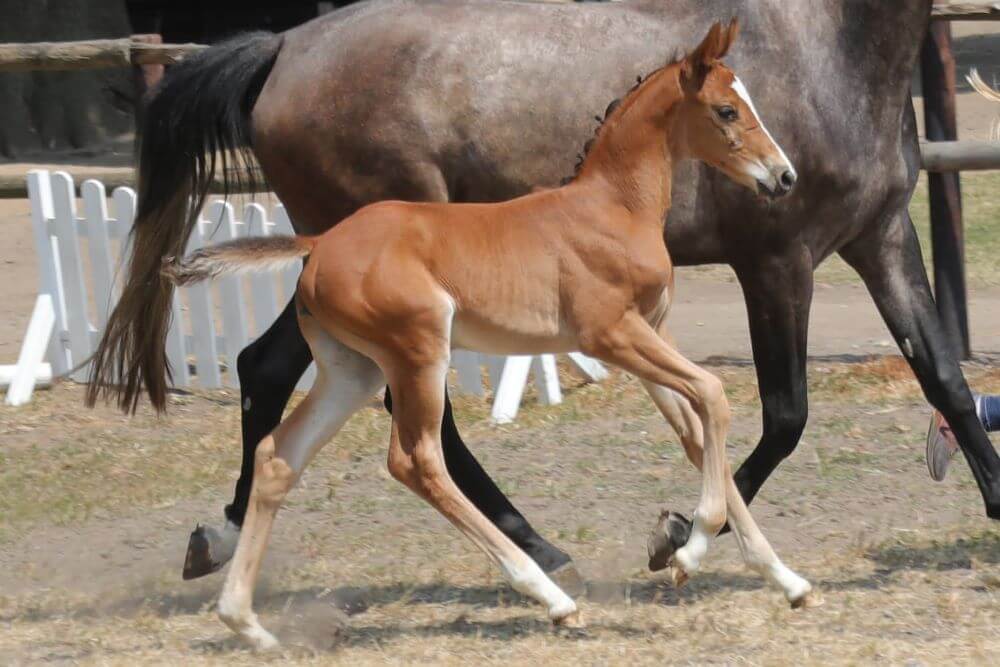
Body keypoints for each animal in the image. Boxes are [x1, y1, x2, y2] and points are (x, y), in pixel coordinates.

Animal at [168, 23, 816, 648]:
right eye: (726, 110)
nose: (784, 176)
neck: (613, 208)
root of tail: (319, 243)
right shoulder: (612, 336)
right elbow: (713, 395)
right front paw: (690, 549)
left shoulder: (650, 333)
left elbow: (695, 433)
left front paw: (783, 580)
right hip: (418, 352)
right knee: (415, 460)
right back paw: (552, 597)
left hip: (353, 371)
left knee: (279, 456)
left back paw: (247, 624)